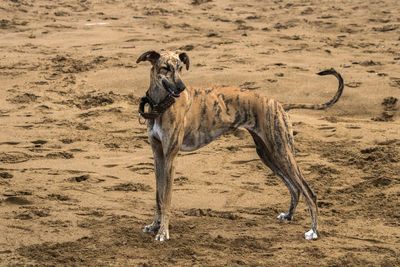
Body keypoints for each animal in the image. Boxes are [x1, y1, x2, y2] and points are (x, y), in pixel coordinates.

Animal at [136, 49, 342, 243]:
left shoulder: (171, 158)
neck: (162, 105)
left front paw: (163, 233)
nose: (181, 87)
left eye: (180, 68)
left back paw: (314, 231)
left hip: (281, 151)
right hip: (268, 154)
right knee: (295, 188)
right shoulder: (158, 156)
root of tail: (278, 103)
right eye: (165, 68)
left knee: (309, 191)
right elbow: (158, 196)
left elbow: (166, 199)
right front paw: (155, 226)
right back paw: (289, 215)